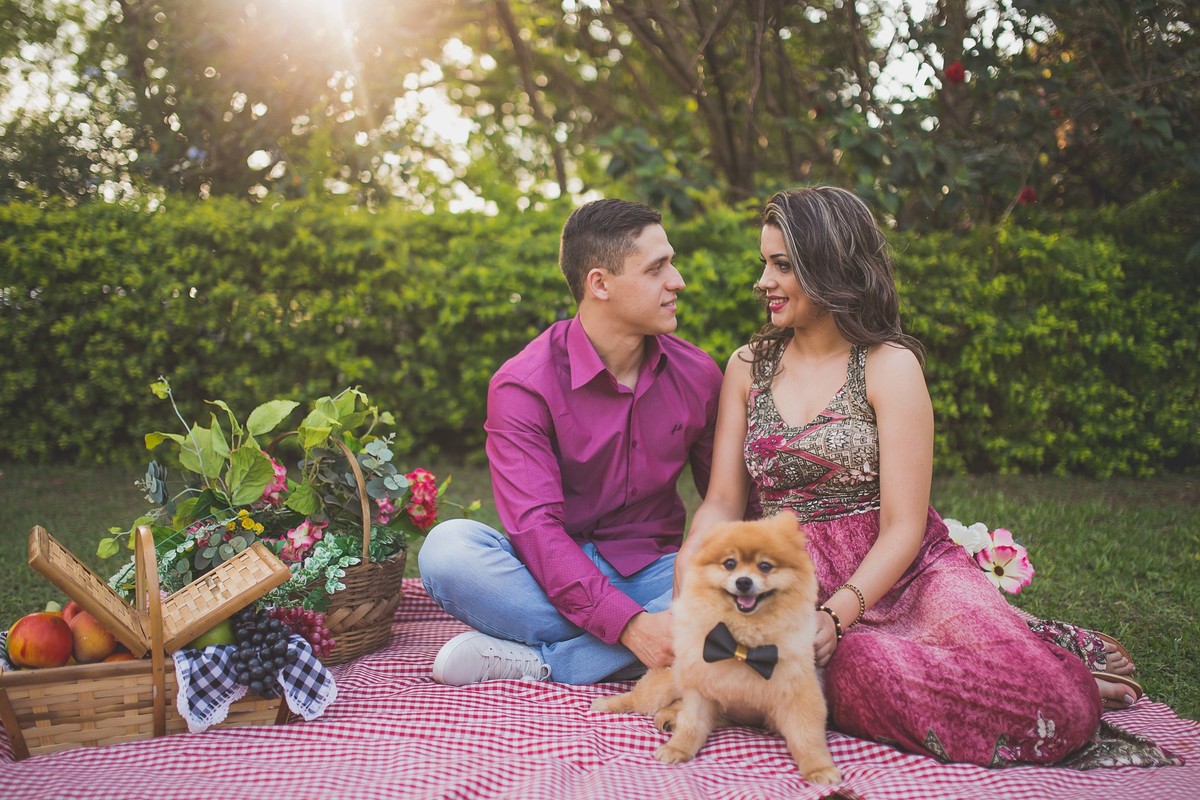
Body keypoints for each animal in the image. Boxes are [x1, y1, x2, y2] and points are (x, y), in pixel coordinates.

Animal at [591, 513, 841, 786]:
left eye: (765, 566)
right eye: (730, 564)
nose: (744, 581)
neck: (742, 646)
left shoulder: (798, 692)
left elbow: (807, 736)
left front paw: (819, 768)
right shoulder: (700, 686)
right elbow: (692, 725)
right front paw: (677, 749)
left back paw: (668, 719)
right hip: (664, 685)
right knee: (637, 699)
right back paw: (606, 704)